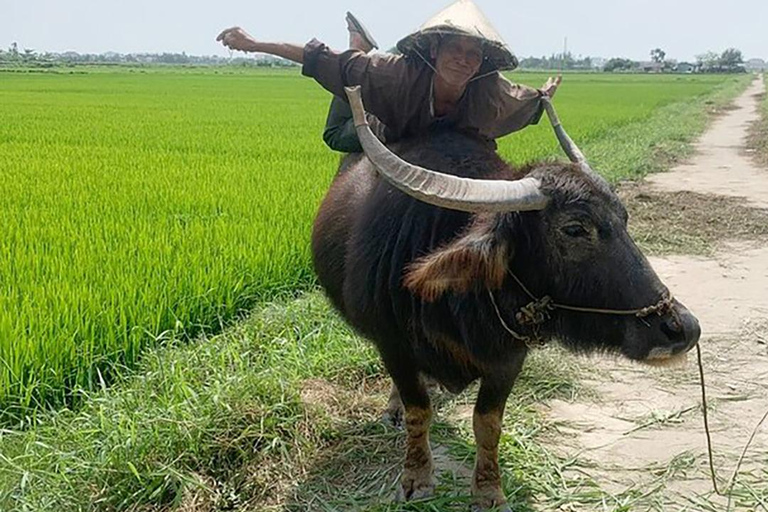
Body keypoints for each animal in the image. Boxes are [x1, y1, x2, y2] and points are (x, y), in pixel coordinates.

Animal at [308, 86, 700, 510]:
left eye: (624, 219)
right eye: (575, 228)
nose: (682, 328)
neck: (459, 302)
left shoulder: (509, 357)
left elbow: (488, 424)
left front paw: (489, 491)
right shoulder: (392, 343)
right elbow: (418, 411)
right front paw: (416, 479)